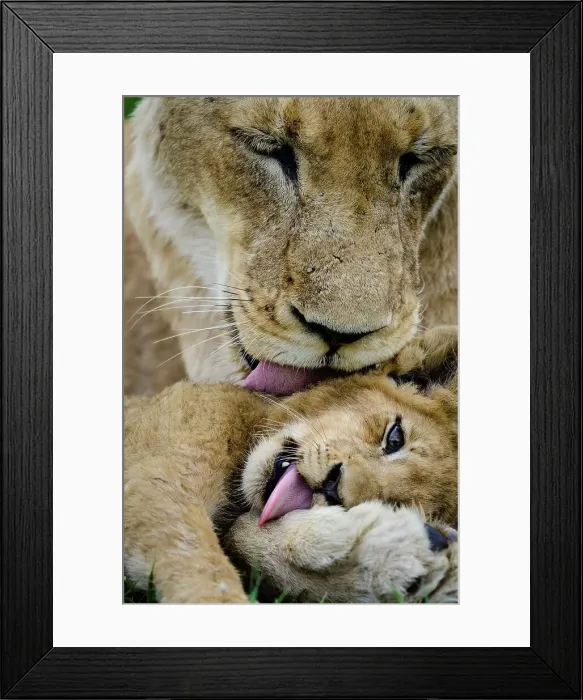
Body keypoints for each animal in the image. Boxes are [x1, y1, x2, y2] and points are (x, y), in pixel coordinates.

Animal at [124, 327, 458, 603]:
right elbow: (199, 564)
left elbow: (246, 540)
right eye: (394, 438)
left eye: (392, 501)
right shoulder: (156, 481)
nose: (333, 486)